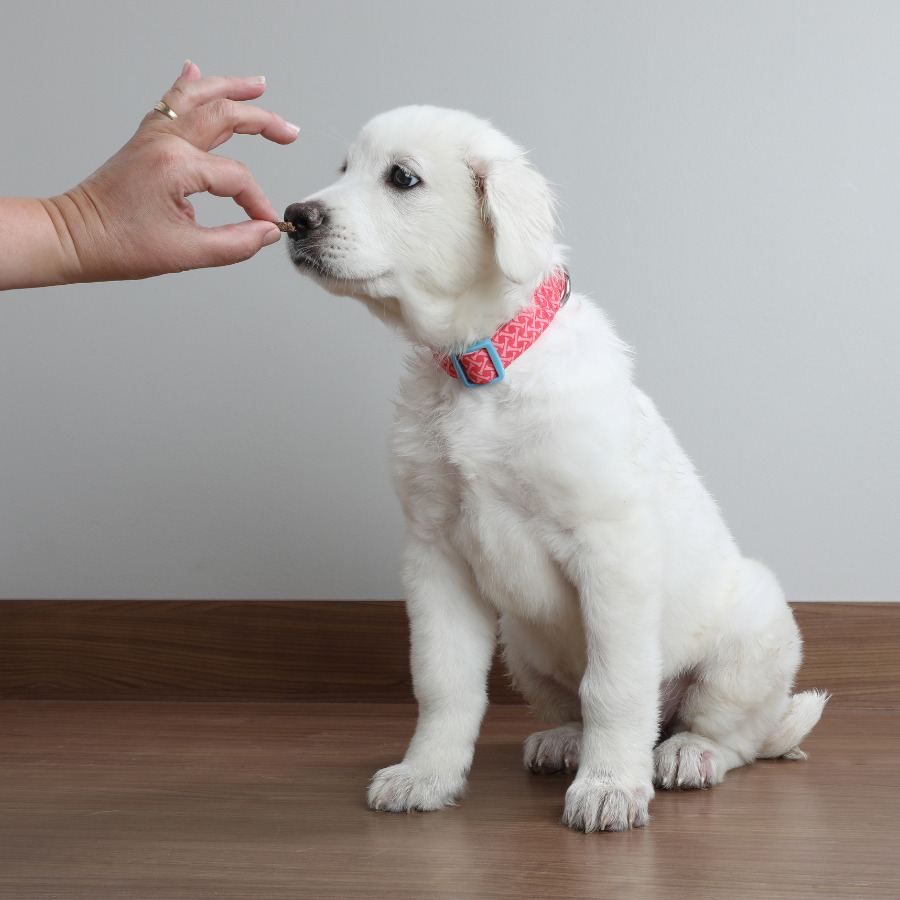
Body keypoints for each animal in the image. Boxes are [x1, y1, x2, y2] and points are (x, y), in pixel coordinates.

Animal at [284, 103, 828, 828]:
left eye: (402, 178)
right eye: (343, 170)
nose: (294, 216)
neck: (482, 365)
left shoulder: (610, 548)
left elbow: (615, 687)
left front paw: (610, 788)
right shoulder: (434, 553)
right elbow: (443, 681)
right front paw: (426, 774)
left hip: (754, 638)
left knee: (732, 734)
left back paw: (687, 754)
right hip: (524, 646)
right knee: (576, 704)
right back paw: (563, 742)